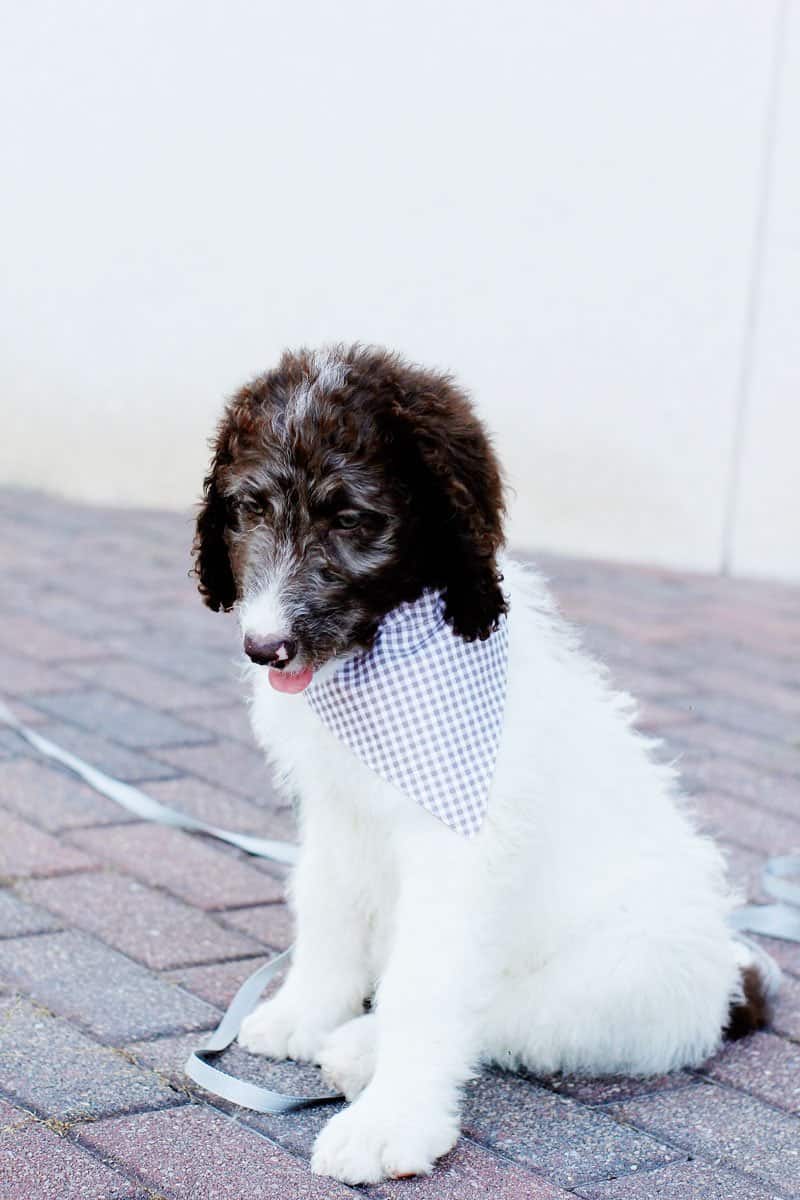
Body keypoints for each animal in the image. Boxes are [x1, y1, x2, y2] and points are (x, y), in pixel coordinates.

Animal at [191, 343, 767, 1185]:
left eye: (352, 519)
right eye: (251, 507)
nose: (265, 648)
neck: (380, 657)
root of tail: (728, 983)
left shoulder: (455, 847)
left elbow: (427, 985)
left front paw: (391, 1124)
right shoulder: (336, 808)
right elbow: (327, 907)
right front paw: (306, 1011)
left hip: (618, 976)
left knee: (508, 1012)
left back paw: (362, 1054)